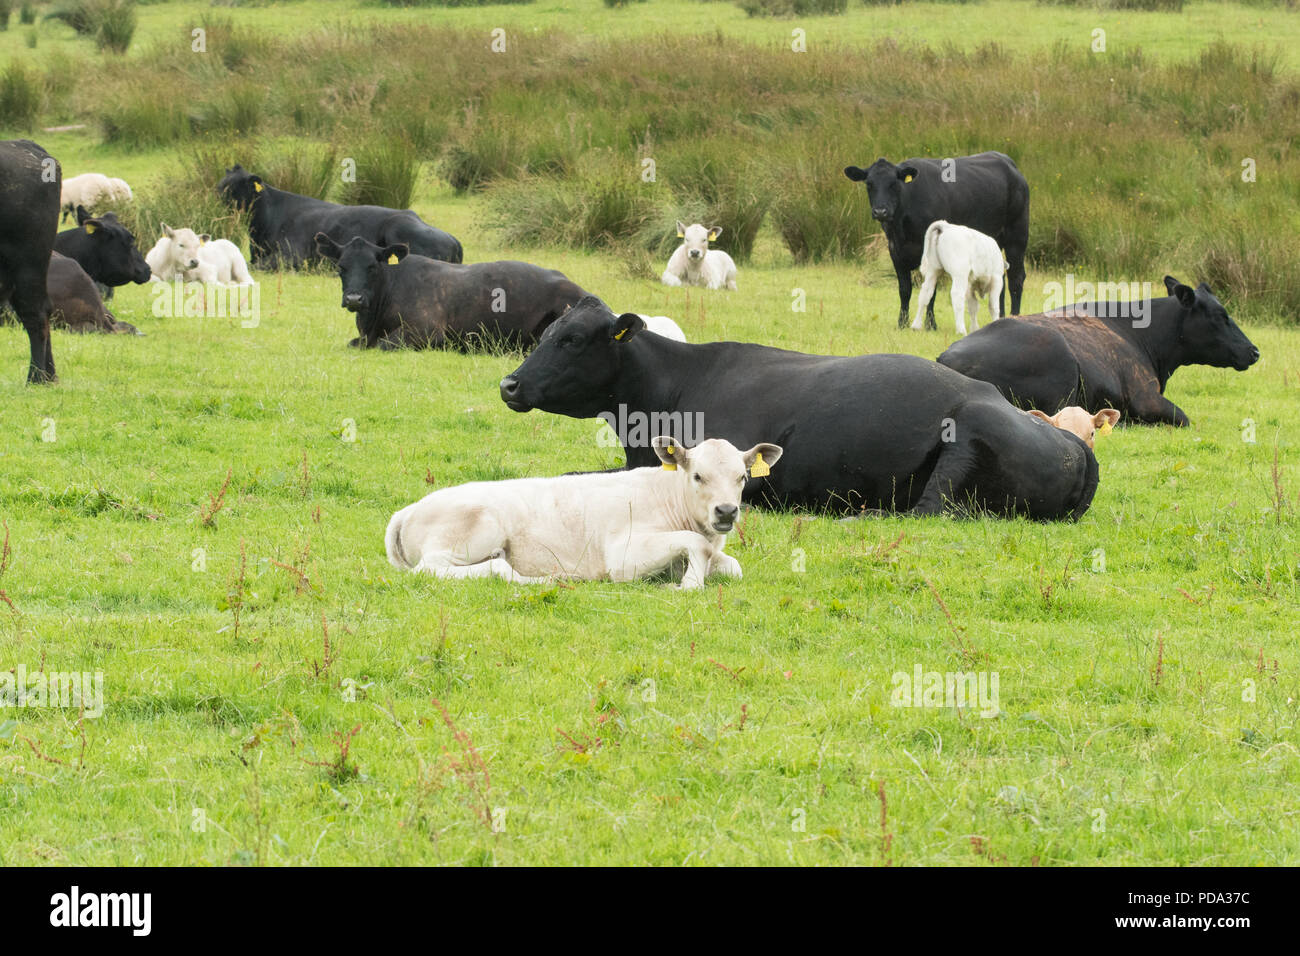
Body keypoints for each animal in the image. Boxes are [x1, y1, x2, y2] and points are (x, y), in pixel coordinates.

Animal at [385, 436, 782, 588]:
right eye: (698, 475)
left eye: (742, 477)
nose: (726, 511)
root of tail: (409, 510)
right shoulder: (622, 556)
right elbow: (693, 544)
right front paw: (687, 584)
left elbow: (733, 567)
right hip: (477, 530)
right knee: (437, 569)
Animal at [499, 297, 1101, 521]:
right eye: (547, 332)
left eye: (573, 339)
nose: (508, 384)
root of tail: (1076, 445)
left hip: (967, 434)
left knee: (927, 509)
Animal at [843, 151, 1029, 329]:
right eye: (869, 184)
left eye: (894, 184)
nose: (880, 211)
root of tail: (1008, 162)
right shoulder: (895, 251)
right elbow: (905, 289)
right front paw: (902, 323)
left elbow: (931, 292)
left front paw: (930, 324)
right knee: (1000, 281)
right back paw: (1000, 319)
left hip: (1017, 236)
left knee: (1016, 278)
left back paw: (1015, 317)